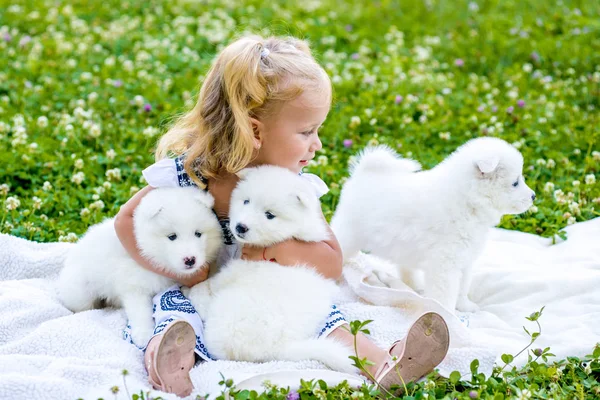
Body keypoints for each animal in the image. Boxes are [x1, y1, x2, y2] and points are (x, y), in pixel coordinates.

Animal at [56, 188, 223, 344]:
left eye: (198, 234)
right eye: (172, 237)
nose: (190, 260)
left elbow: (199, 289)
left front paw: (205, 307)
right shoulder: (133, 286)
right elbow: (140, 311)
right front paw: (143, 335)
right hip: (81, 293)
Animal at [332, 138, 536, 312]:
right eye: (515, 183)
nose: (534, 196)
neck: (469, 202)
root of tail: (363, 173)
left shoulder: (465, 260)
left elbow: (462, 288)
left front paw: (465, 306)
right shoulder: (445, 265)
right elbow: (446, 296)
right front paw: (448, 316)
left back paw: (413, 287)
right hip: (349, 232)